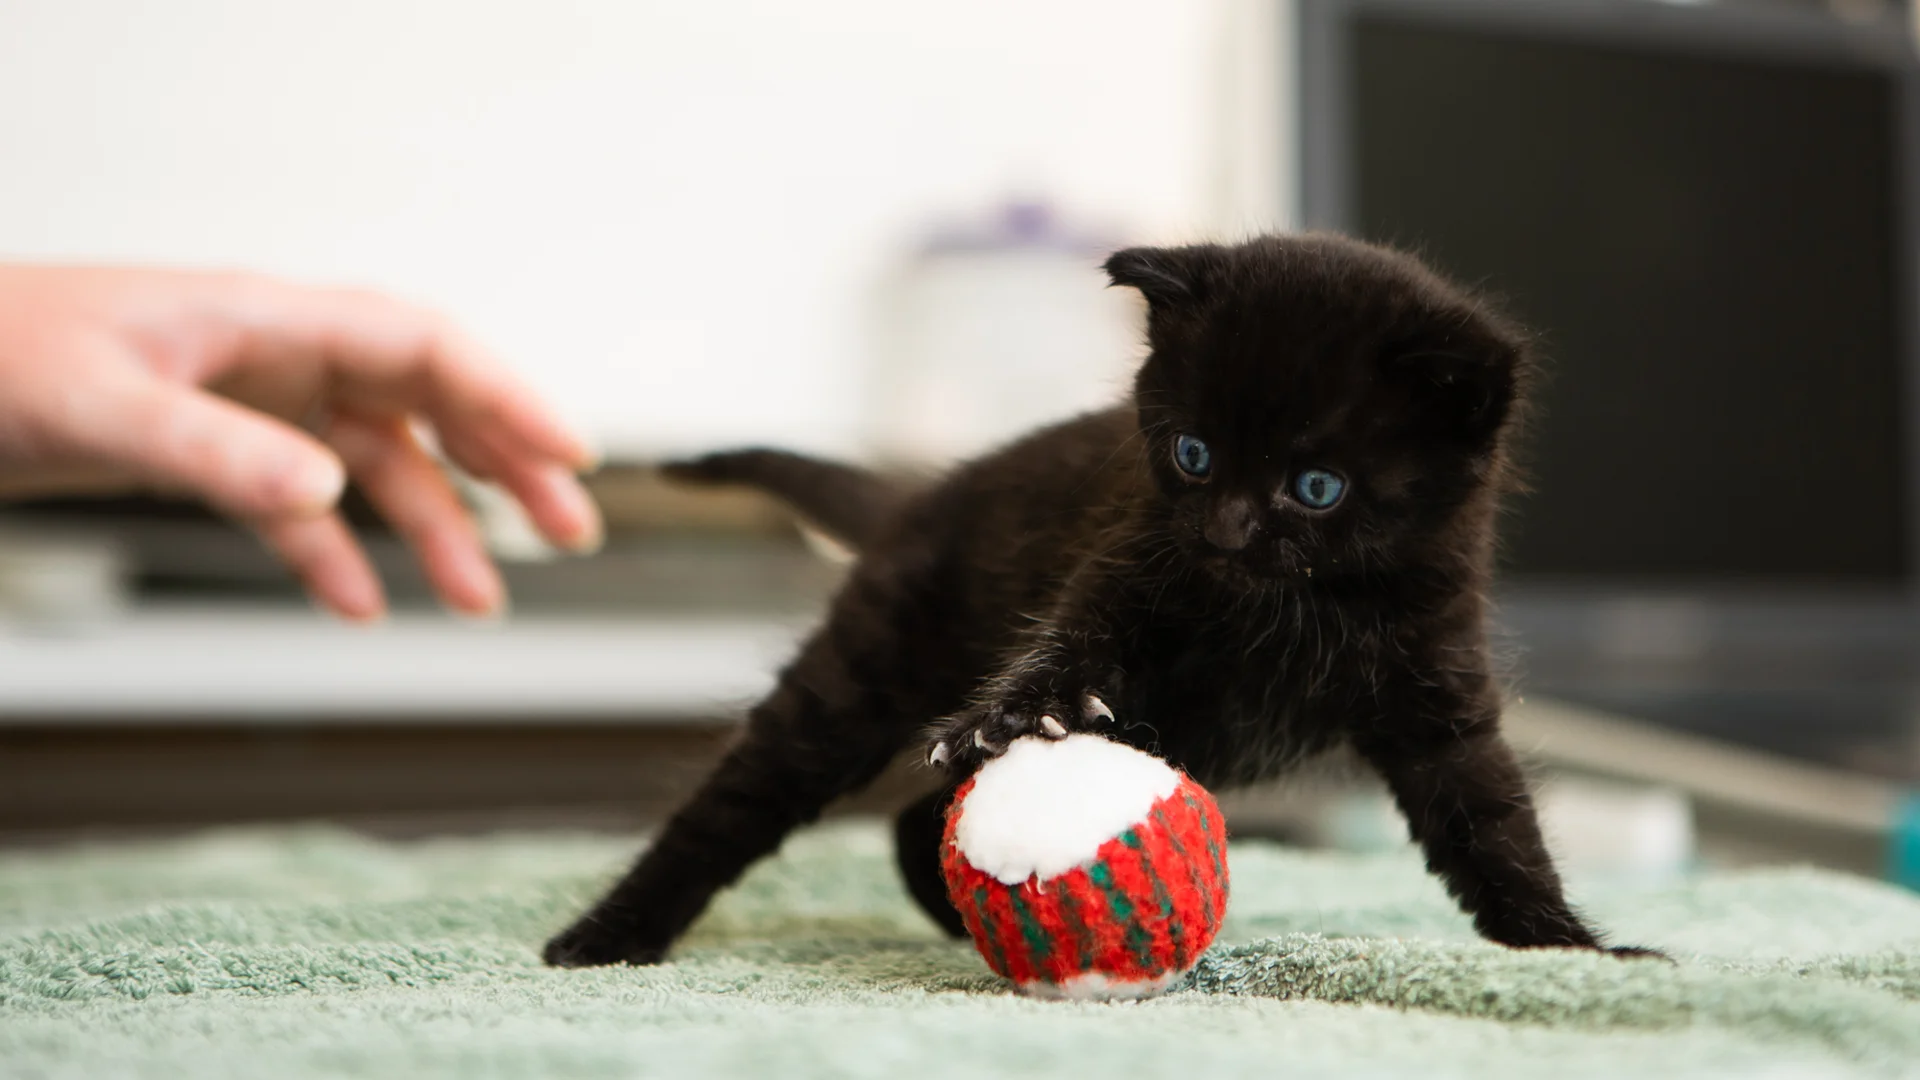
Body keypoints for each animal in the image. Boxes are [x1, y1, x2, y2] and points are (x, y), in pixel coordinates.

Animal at [545, 231, 1651, 960]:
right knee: (736, 802)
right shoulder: (1123, 570)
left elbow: (1493, 826)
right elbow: (1066, 651)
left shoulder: (1437, 684)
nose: (1225, 532)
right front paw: (1014, 713)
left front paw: (1570, 950)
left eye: (1317, 486)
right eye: (1192, 454)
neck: (1290, 610)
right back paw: (603, 940)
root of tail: (919, 498)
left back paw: (959, 924)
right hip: (863, 673)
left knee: (912, 821)